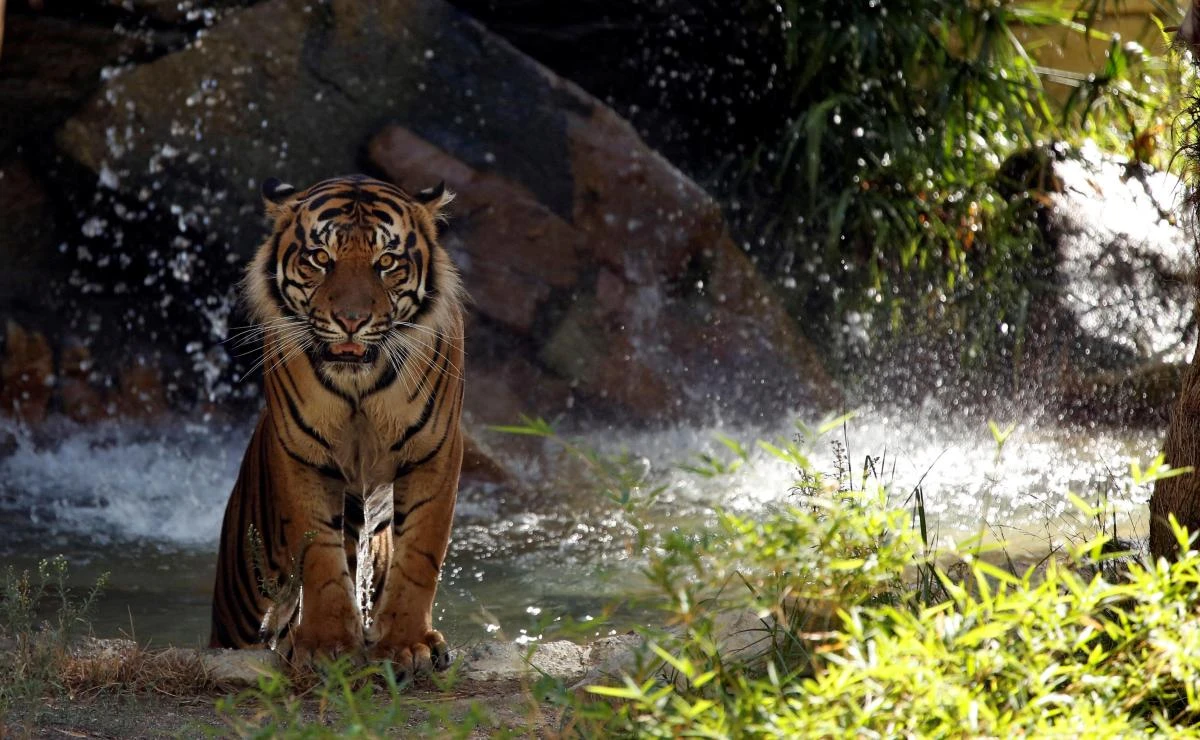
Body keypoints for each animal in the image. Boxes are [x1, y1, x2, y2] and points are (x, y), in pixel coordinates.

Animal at [209, 174, 466, 677]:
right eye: (320, 259)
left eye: (386, 262)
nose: (351, 320)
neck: (359, 386)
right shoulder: (300, 453)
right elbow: (319, 556)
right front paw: (326, 645)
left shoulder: (435, 452)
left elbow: (420, 555)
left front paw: (405, 645)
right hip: (244, 589)